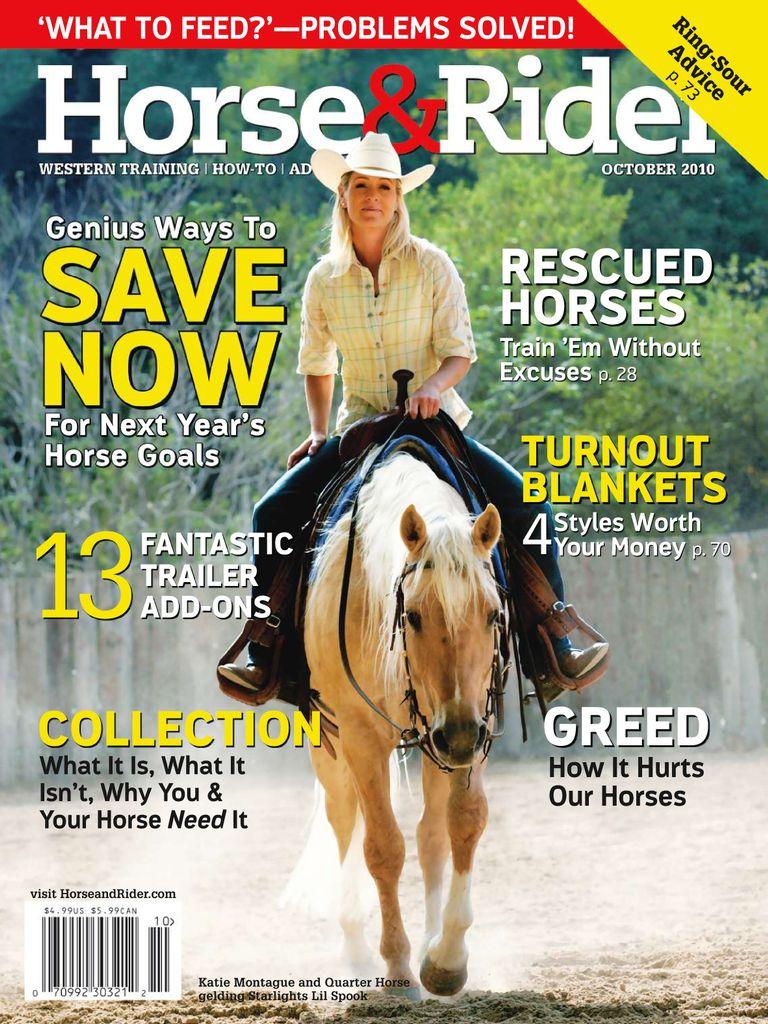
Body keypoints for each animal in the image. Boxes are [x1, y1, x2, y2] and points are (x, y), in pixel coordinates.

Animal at [302, 447, 505, 997]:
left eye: (492, 613)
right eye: (412, 615)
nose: (458, 736)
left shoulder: (473, 723)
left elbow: (464, 822)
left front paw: (446, 959)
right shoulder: (359, 735)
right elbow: (382, 848)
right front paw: (396, 967)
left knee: (431, 833)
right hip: (333, 747)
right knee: (344, 821)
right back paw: (356, 949)